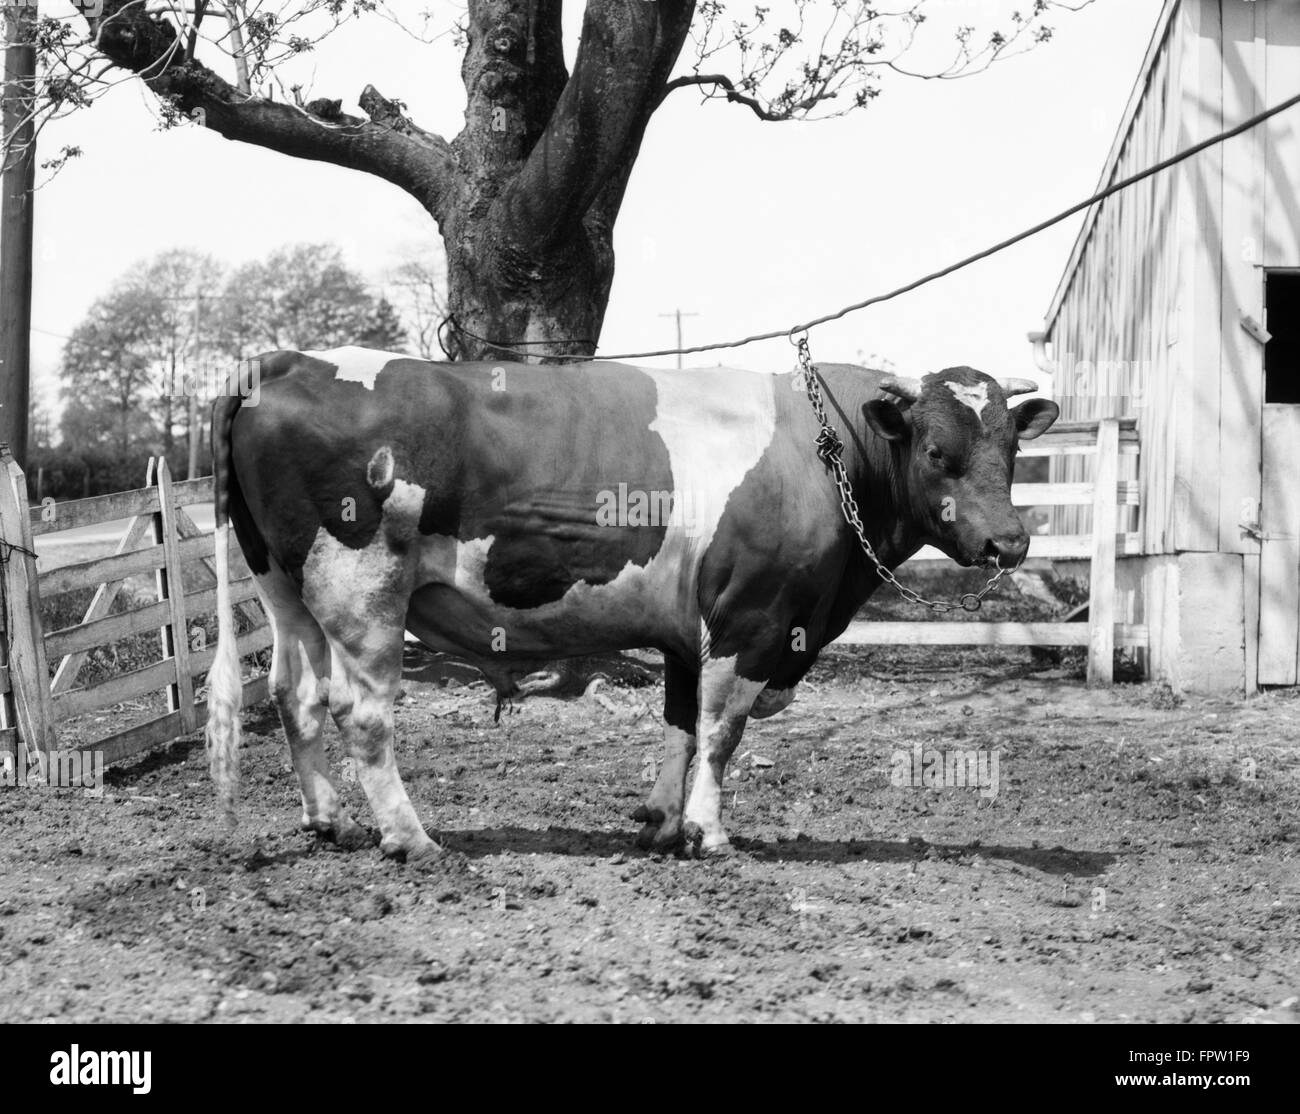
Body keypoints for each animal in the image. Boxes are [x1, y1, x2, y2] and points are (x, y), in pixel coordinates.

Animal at [204, 346, 1058, 862]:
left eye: (1013, 450)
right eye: (939, 451)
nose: (1009, 542)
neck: (826, 453)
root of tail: (289, 362)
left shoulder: (691, 629)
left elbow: (681, 724)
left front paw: (662, 821)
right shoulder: (752, 618)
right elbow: (721, 732)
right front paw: (708, 831)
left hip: (285, 591)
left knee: (295, 694)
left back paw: (329, 819)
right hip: (362, 591)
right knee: (362, 712)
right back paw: (409, 838)